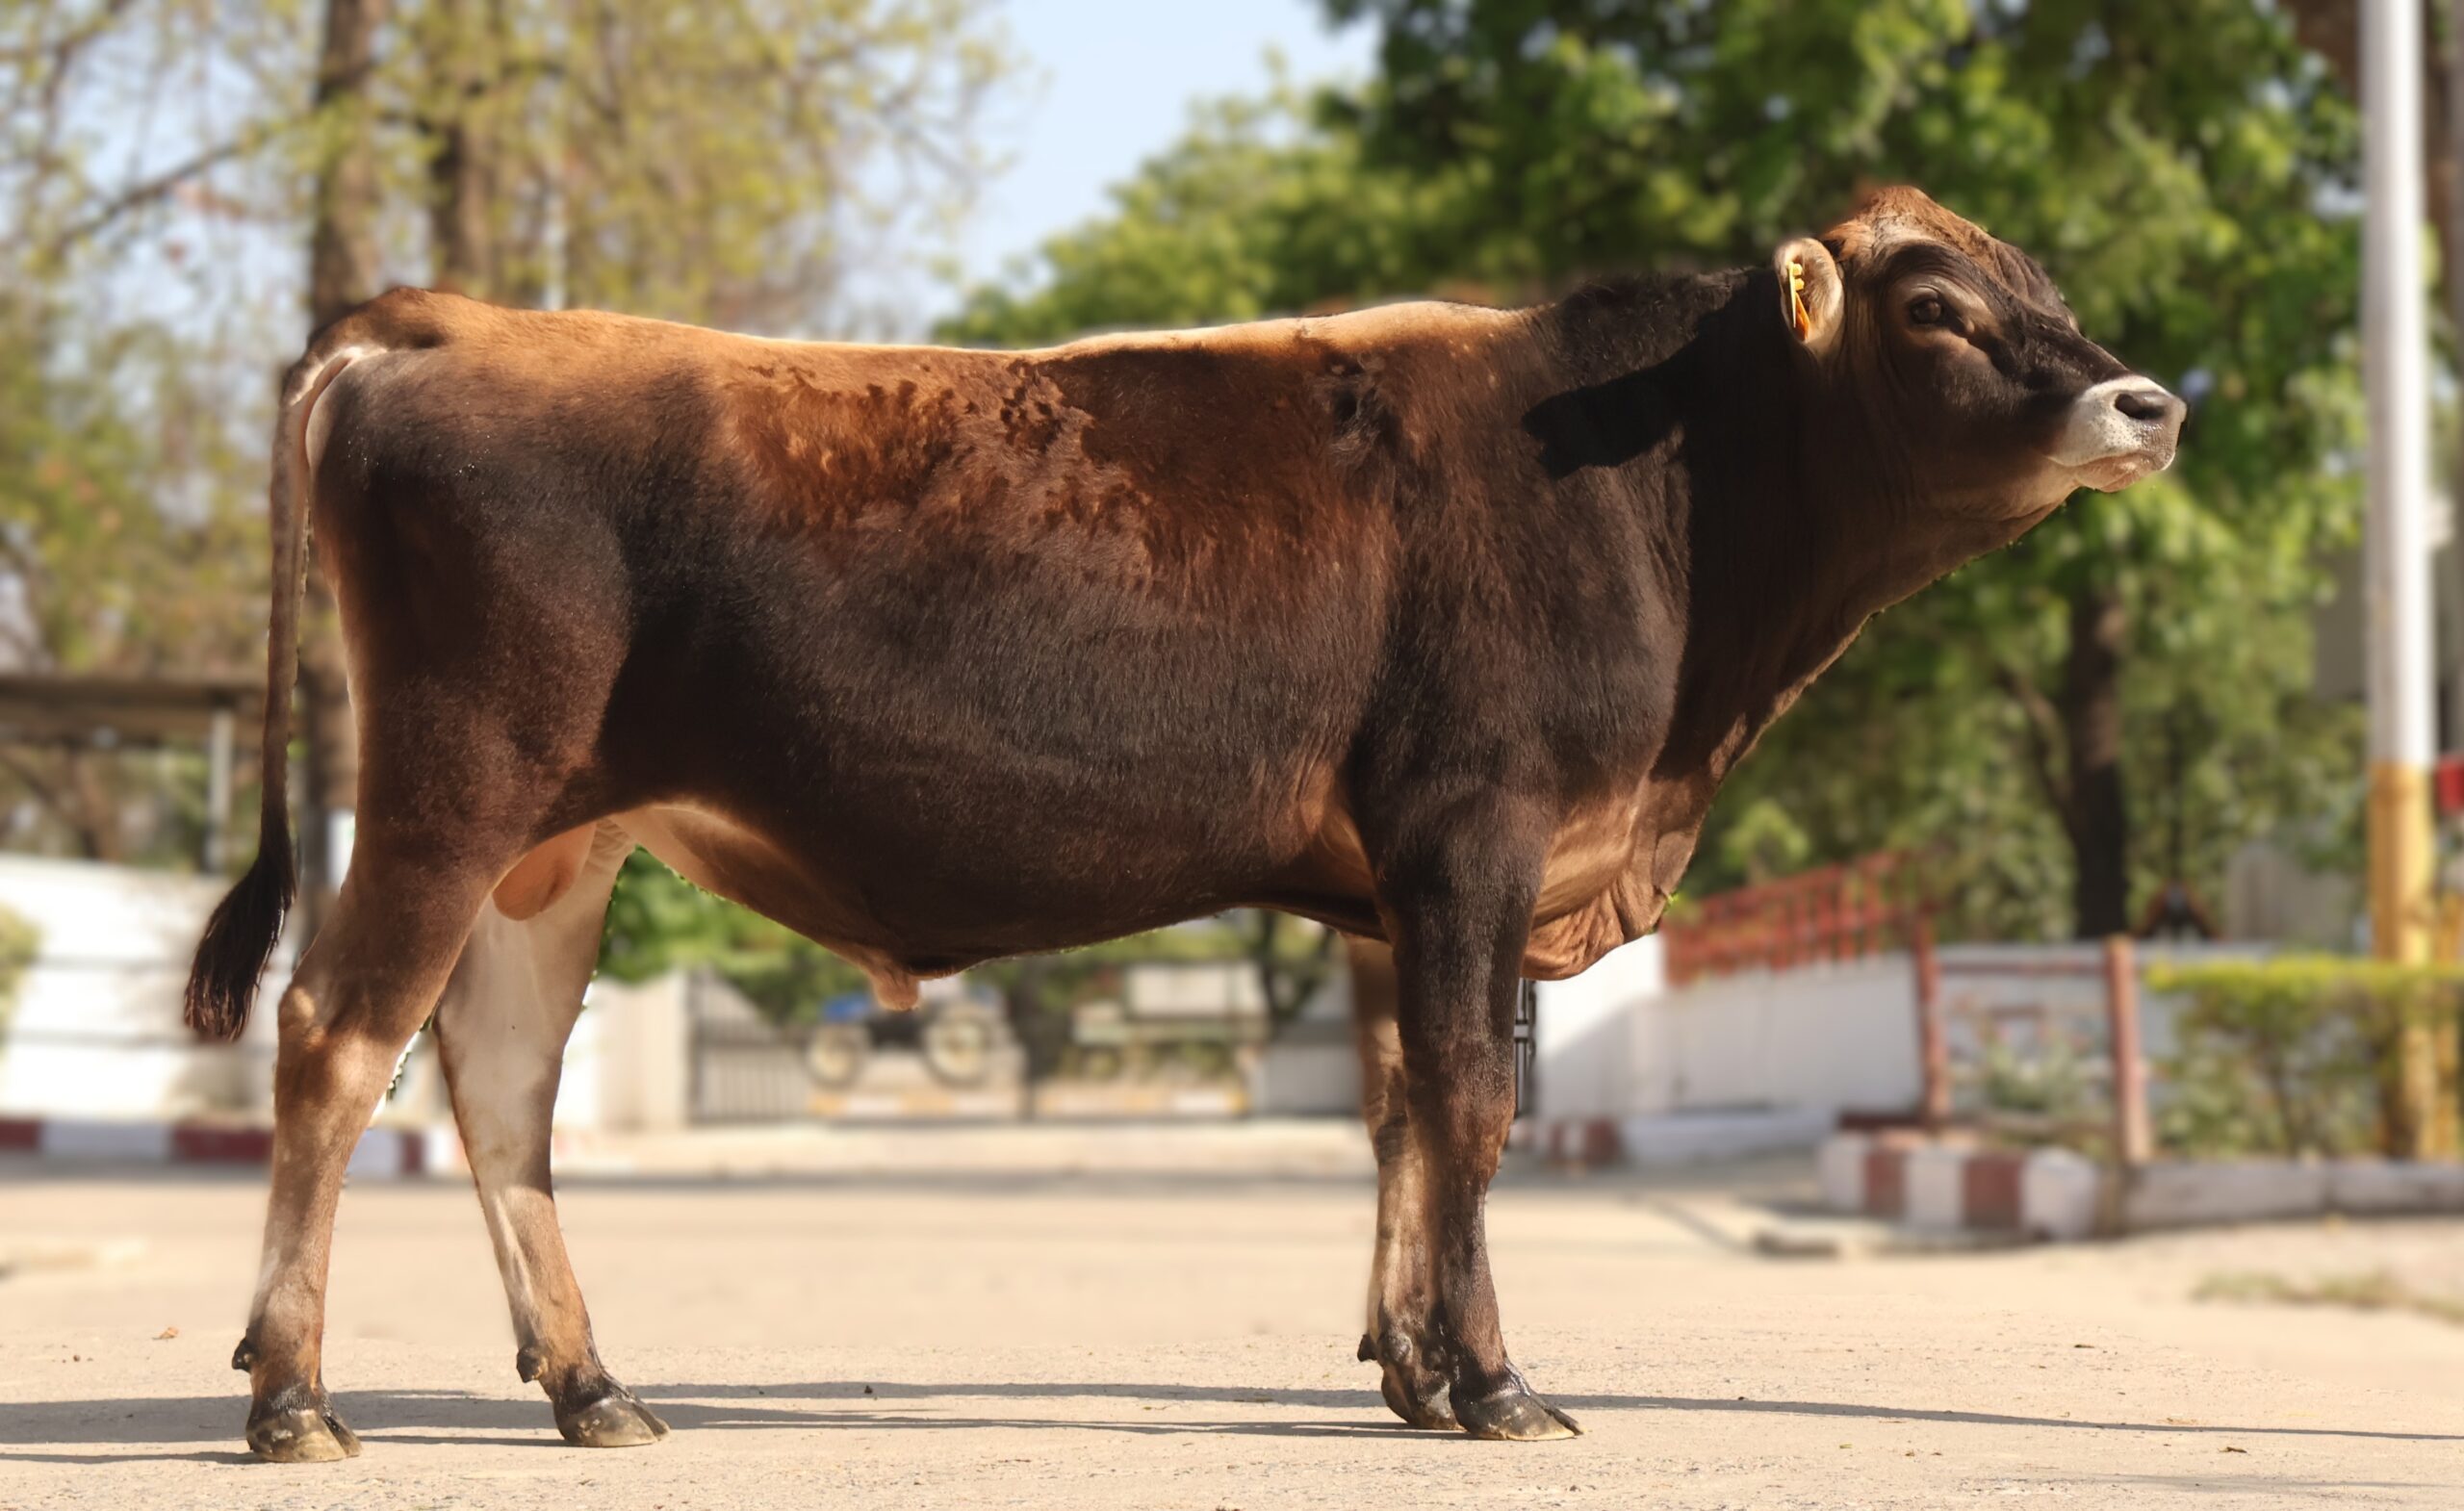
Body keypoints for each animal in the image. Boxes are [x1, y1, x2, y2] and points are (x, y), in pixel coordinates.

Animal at [185, 186, 2182, 1461]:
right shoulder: (1476, 830)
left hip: (559, 844)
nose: (2148, 399)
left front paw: (1411, 1370)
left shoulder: (1395, 885)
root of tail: (443, 324)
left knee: (502, 1091)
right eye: (1935, 308)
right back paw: (290, 1398)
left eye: (2043, 283)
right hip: (454, 782)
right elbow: (1478, 1101)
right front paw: (1495, 1384)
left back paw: (592, 1390)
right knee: (335, 1040)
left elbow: (1398, 1113)